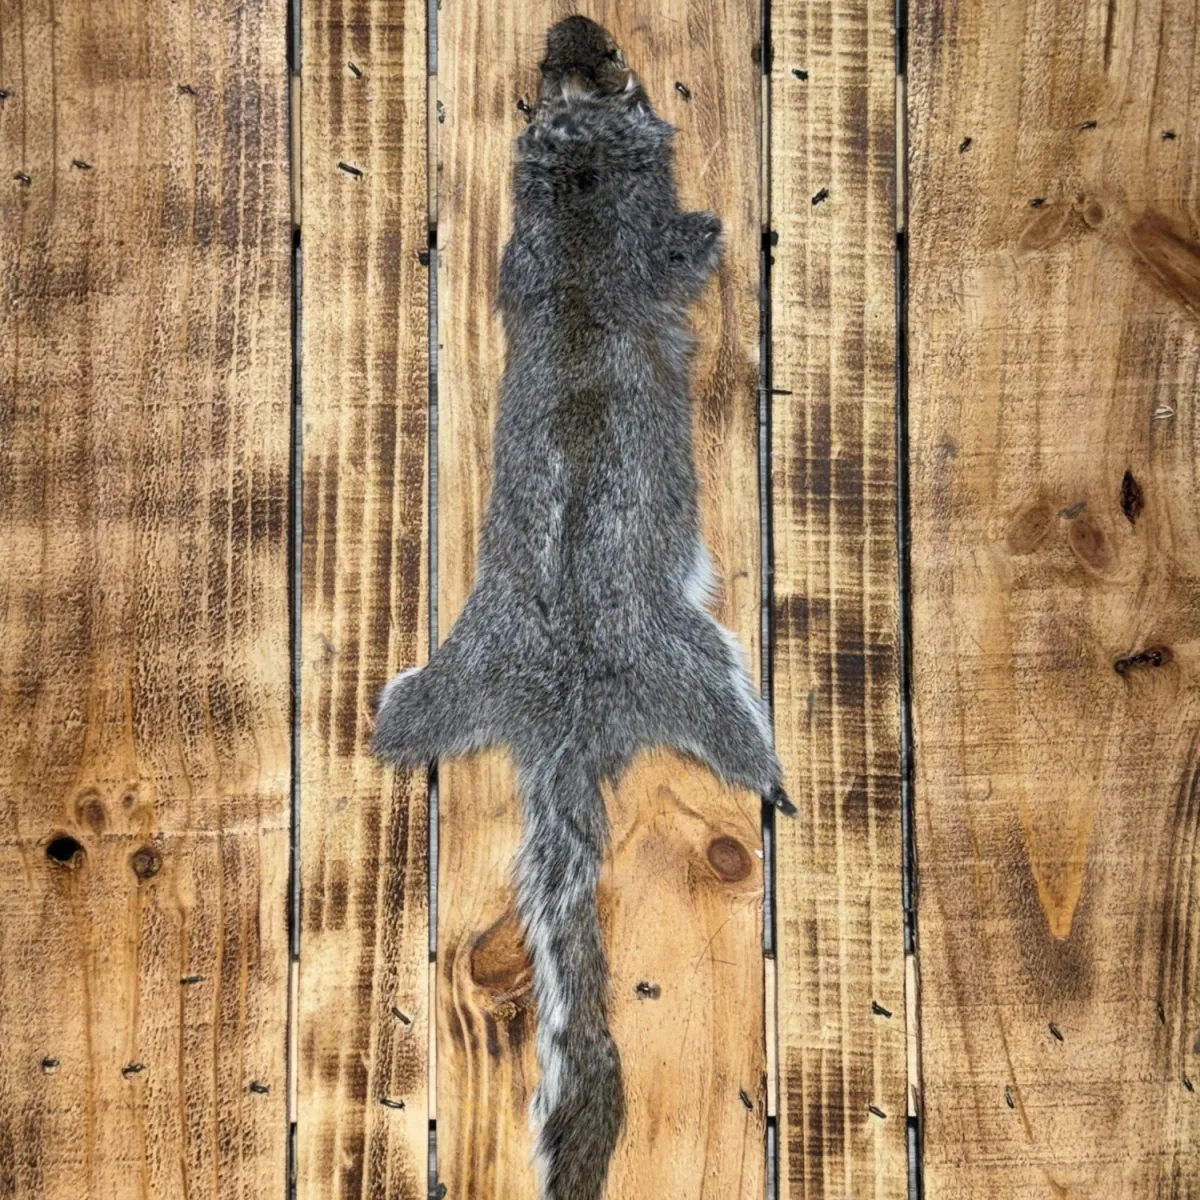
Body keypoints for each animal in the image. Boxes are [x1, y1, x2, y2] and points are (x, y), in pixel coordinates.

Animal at [373, 16, 794, 1198]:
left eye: (570, 80)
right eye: (634, 92)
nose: (576, 31)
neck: (581, 201)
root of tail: (562, 709)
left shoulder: (526, 258)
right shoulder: (640, 247)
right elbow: (681, 249)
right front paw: (705, 230)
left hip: (433, 681)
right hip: (699, 663)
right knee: (740, 729)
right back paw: (772, 772)